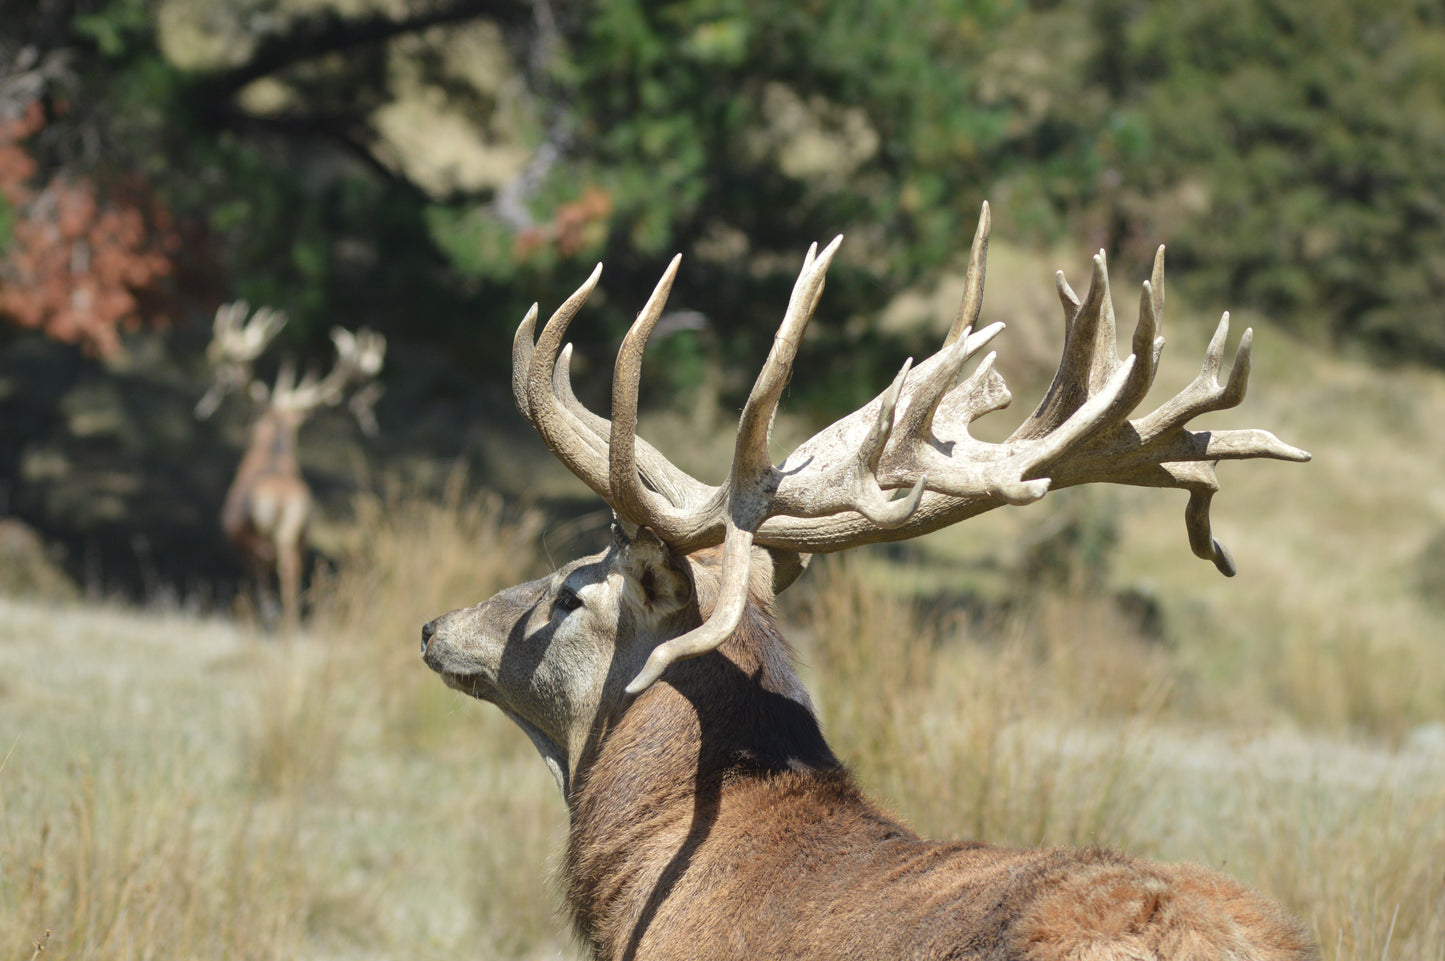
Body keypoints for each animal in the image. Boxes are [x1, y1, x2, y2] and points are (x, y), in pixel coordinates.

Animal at [197, 302, 385, 633]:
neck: (271, 457)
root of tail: (282, 502)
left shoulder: (235, 536)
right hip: (299, 536)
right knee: (292, 576)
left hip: (258, 538)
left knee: (269, 575)